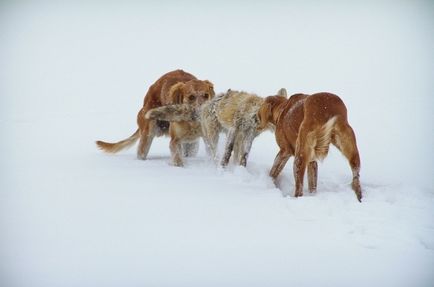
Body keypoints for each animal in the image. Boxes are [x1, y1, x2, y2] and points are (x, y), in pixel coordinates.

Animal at [147, 89, 288, 168]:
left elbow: (244, 156)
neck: (252, 115)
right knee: (215, 153)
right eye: (281, 112)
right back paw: (217, 164)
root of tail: (203, 106)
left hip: (232, 138)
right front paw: (223, 168)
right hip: (213, 136)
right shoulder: (234, 129)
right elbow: (227, 152)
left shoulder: (249, 135)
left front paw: (242, 169)